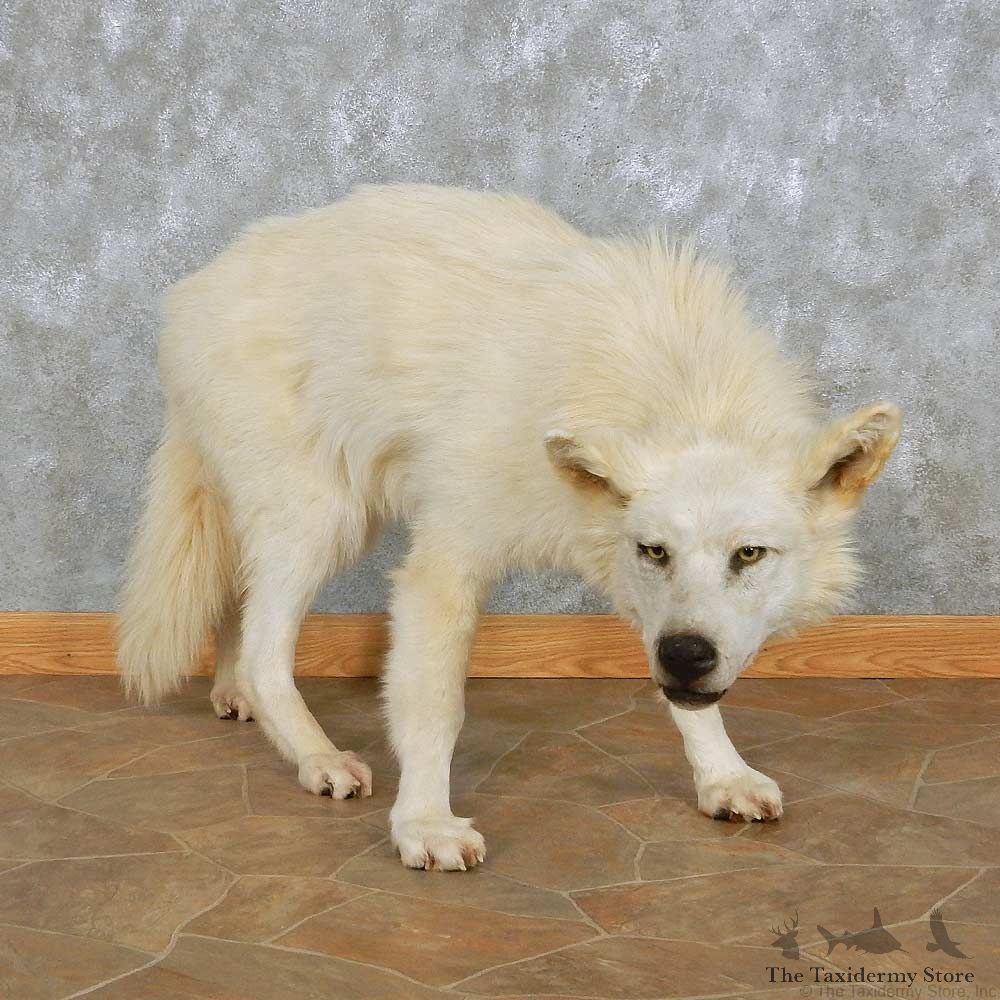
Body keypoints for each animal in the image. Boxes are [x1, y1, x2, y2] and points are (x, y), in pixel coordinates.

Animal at [118, 183, 901, 871]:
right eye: (656, 550)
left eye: (749, 554)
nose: (685, 656)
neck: (675, 390)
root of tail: (194, 289)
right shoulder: (444, 567)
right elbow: (435, 707)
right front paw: (425, 826)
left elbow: (689, 705)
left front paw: (722, 777)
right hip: (323, 521)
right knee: (265, 651)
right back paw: (317, 757)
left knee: (242, 608)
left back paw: (233, 698)